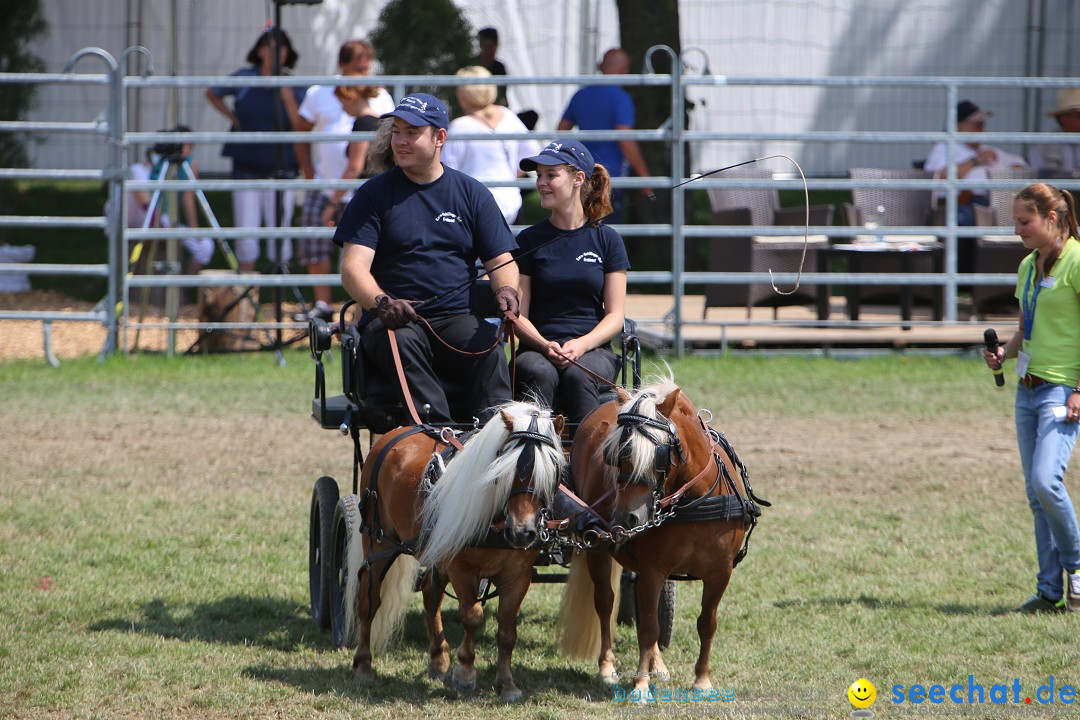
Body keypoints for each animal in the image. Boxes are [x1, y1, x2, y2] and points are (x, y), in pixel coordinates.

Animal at [343, 403, 565, 708]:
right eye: (505, 467)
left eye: (553, 469)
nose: (522, 532)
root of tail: (395, 433)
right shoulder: (462, 568)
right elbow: (473, 616)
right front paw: (465, 673)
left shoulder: (518, 575)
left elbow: (507, 630)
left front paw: (507, 685)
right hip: (378, 542)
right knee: (369, 600)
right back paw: (364, 666)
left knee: (430, 591)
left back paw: (438, 660)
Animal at [561, 377, 764, 699]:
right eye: (615, 456)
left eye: (659, 455)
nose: (627, 519)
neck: (693, 502)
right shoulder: (653, 569)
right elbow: (648, 629)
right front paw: (641, 686)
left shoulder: (720, 571)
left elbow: (706, 623)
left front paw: (702, 680)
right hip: (597, 546)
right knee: (605, 602)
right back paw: (607, 667)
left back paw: (657, 664)